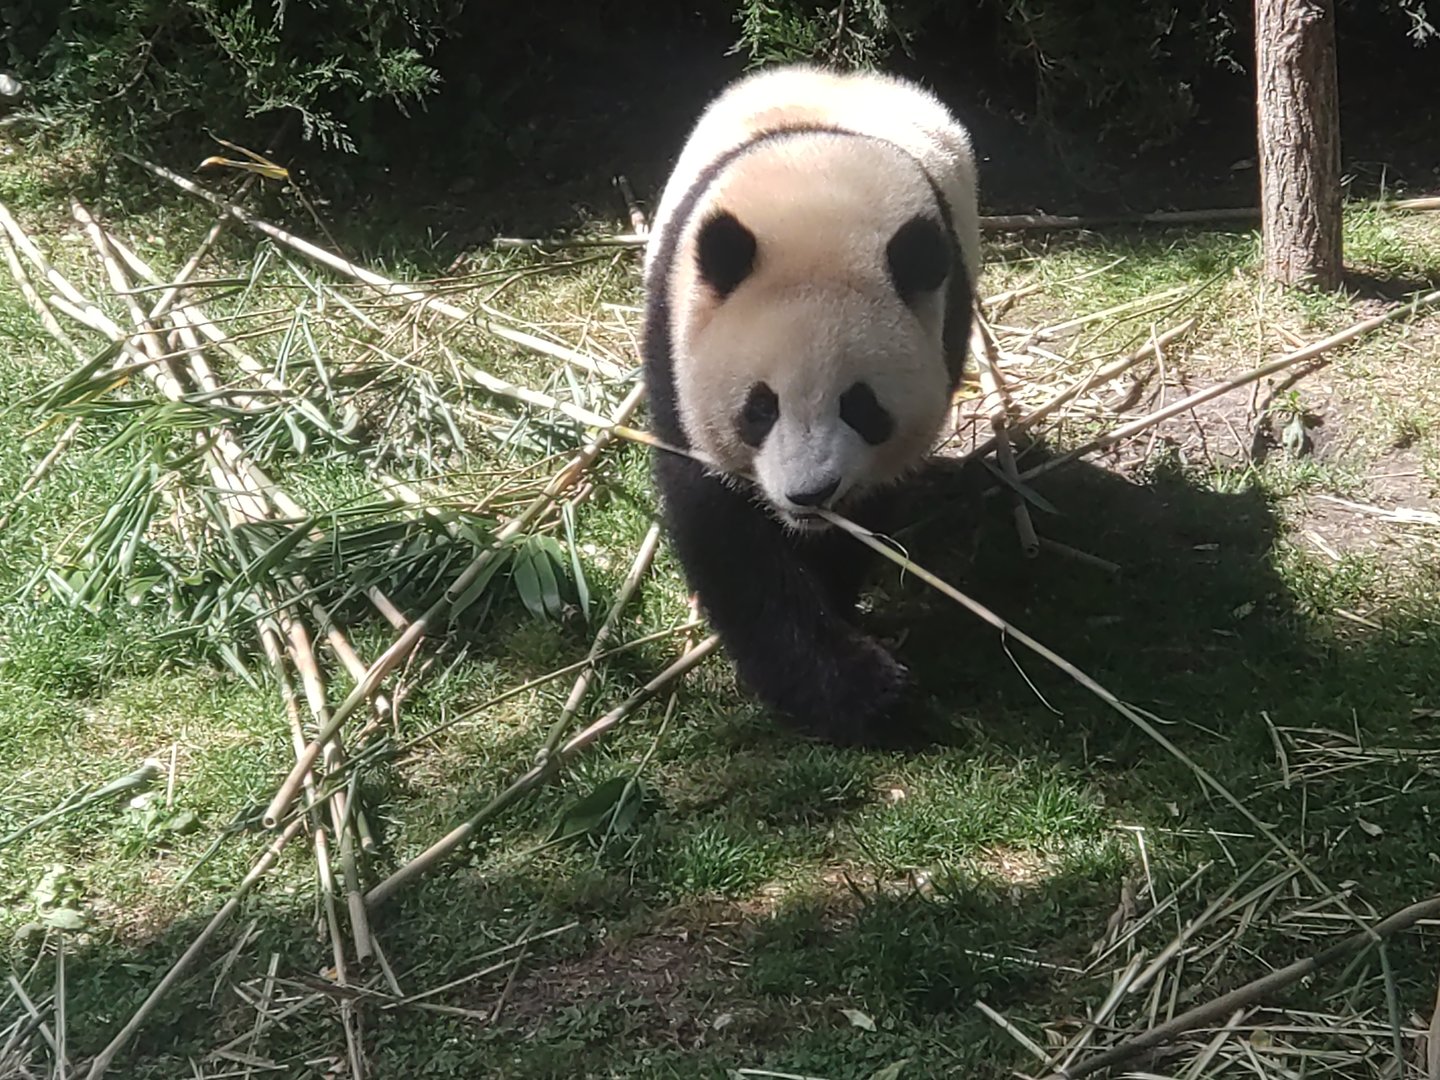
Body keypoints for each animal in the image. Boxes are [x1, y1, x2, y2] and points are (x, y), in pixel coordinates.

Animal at [640, 62, 981, 746]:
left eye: (861, 406)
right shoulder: (678, 339)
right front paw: (857, 689)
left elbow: (863, 515)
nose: (809, 495)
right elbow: (724, 526)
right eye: (760, 408)